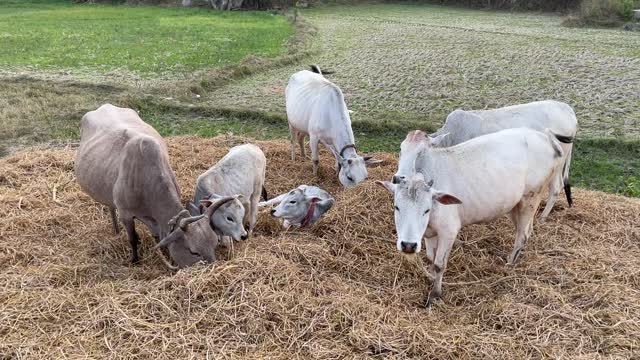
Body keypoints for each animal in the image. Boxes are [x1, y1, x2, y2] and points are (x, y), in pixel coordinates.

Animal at [74, 103, 245, 268]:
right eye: (193, 252)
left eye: (214, 244)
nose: (212, 267)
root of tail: (104, 106)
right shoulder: (126, 214)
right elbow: (132, 239)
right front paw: (135, 260)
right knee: (111, 207)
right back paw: (116, 230)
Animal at [378, 128, 568, 306]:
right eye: (396, 207)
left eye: (426, 210)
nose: (408, 245)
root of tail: (546, 137)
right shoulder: (429, 233)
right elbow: (431, 258)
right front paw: (430, 278)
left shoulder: (449, 230)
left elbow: (439, 264)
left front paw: (434, 294)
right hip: (516, 205)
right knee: (527, 230)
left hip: (531, 198)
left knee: (523, 235)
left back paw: (510, 264)